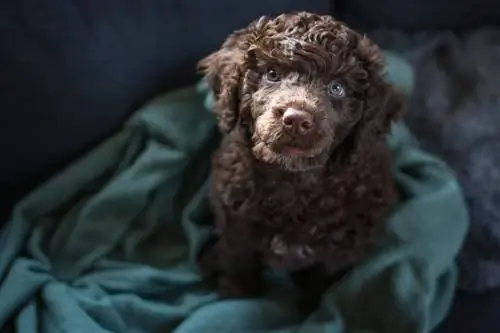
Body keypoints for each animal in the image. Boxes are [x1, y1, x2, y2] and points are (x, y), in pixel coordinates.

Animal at [197, 11, 404, 308]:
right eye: (272, 74)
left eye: (337, 88)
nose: (296, 119)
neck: (293, 180)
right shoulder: (236, 224)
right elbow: (238, 261)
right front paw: (237, 295)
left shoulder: (338, 249)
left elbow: (320, 281)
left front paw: (314, 309)